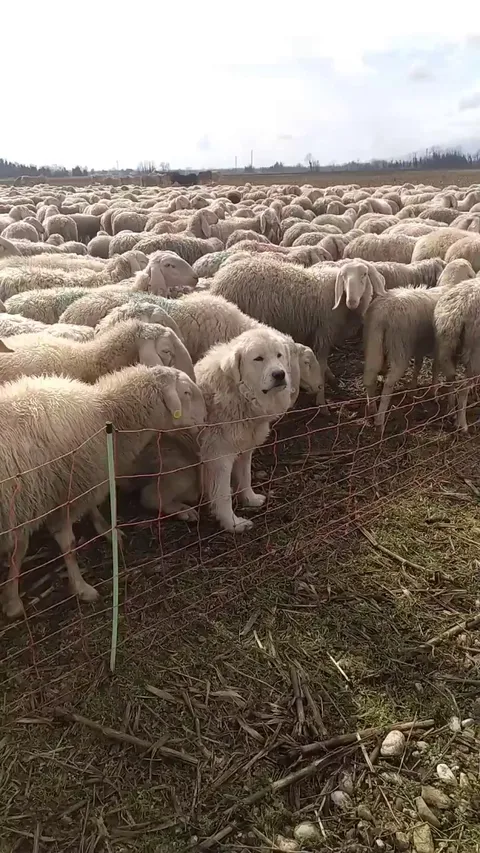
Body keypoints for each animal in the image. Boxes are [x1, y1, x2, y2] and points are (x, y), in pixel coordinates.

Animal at [0, 365, 205, 618]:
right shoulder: (62, 495)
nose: (205, 418)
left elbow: (20, 550)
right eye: (186, 392)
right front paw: (81, 588)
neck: (105, 410)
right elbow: (66, 544)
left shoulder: (41, 498)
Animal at [210, 257, 386, 406]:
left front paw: (333, 383)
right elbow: (321, 365)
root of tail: (219, 280)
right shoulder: (323, 334)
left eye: (364, 274)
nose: (352, 301)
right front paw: (322, 401)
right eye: (343, 276)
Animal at [433, 279, 480, 432]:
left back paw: (450, 413)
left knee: (451, 379)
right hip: (474, 352)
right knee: (463, 387)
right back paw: (462, 424)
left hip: (446, 346)